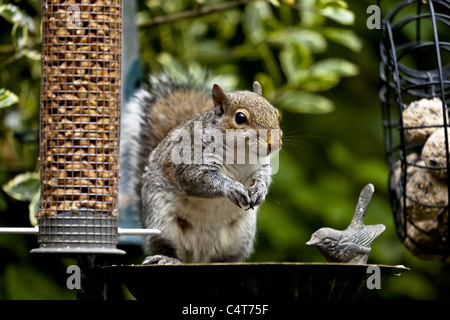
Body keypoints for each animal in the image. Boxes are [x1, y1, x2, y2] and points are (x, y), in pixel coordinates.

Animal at [119, 74, 282, 264]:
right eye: (240, 118)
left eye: (276, 113)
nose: (275, 144)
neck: (241, 154)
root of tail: (198, 255)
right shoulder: (190, 160)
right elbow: (198, 179)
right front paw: (231, 187)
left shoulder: (261, 166)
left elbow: (263, 178)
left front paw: (260, 190)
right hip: (161, 223)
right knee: (169, 247)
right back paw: (168, 258)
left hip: (241, 236)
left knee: (224, 257)